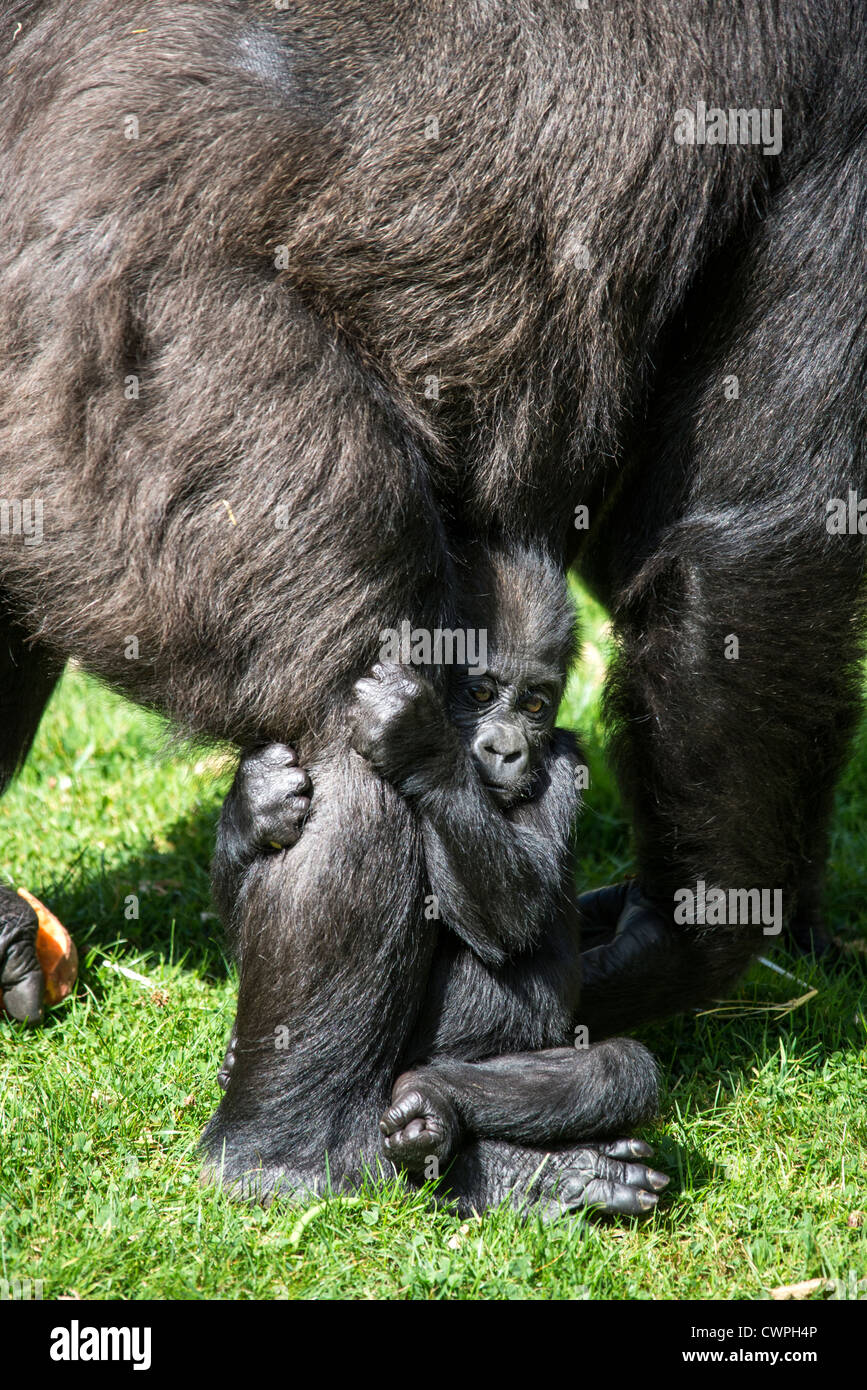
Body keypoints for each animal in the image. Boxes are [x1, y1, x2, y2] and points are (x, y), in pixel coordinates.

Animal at [215, 542, 664, 1217]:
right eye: (479, 692)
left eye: (535, 705)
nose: (506, 749)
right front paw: (254, 802)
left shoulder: (564, 763)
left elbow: (515, 915)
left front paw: (420, 742)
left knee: (621, 1067)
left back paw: (444, 1111)